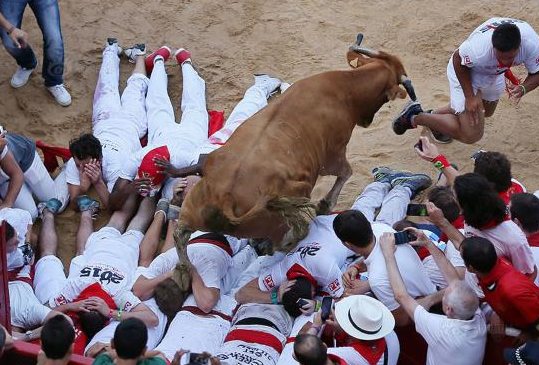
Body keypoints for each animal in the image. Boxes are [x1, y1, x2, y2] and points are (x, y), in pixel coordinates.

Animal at [169, 33, 418, 292]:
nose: (368, 120)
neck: (344, 88)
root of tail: (224, 199)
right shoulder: (333, 156)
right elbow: (345, 173)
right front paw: (324, 205)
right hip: (277, 224)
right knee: (289, 237)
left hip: (192, 208)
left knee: (180, 233)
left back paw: (182, 272)